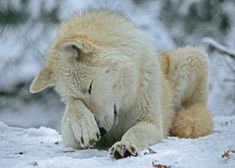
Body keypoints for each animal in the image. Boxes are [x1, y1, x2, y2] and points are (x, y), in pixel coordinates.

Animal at [29, 9, 213, 159]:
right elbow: (73, 111)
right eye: (75, 96)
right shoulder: (70, 137)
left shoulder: (152, 123)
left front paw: (124, 145)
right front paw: (85, 127)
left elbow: (133, 132)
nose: (101, 131)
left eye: (90, 88)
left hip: (192, 56)